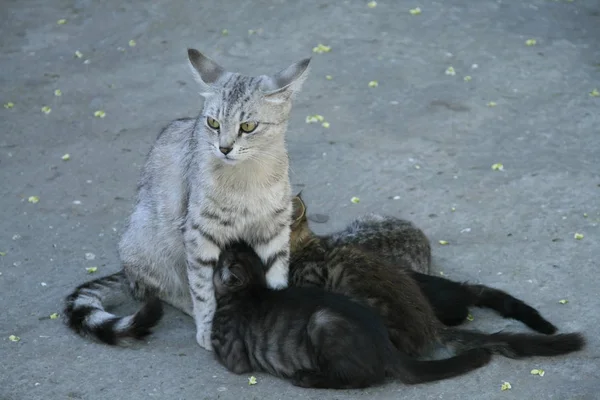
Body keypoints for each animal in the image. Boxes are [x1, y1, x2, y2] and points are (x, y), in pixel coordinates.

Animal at [63, 49, 312, 350]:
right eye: (213, 123)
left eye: (248, 126)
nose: (224, 148)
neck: (248, 178)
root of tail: (126, 270)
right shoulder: (199, 233)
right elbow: (203, 289)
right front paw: (208, 326)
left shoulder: (274, 229)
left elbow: (276, 275)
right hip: (149, 244)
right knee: (163, 290)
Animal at [211, 239, 492, 390]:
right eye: (237, 247)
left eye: (224, 257)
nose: (229, 243)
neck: (253, 288)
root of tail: (386, 346)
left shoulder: (233, 356)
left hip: (322, 322)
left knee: (359, 378)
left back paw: (307, 378)